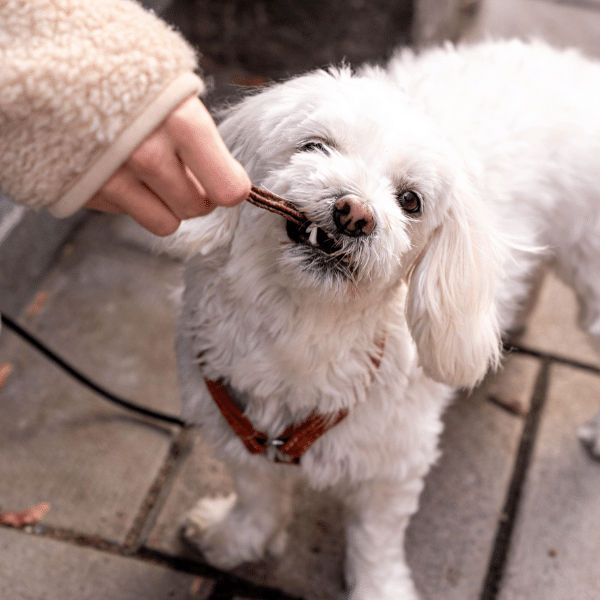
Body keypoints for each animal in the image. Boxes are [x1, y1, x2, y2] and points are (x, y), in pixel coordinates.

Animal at [164, 38, 600, 600]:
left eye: (410, 200)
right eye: (314, 147)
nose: (354, 214)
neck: (304, 327)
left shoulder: (395, 462)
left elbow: (375, 538)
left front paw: (380, 587)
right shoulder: (239, 428)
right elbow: (256, 493)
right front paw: (235, 537)